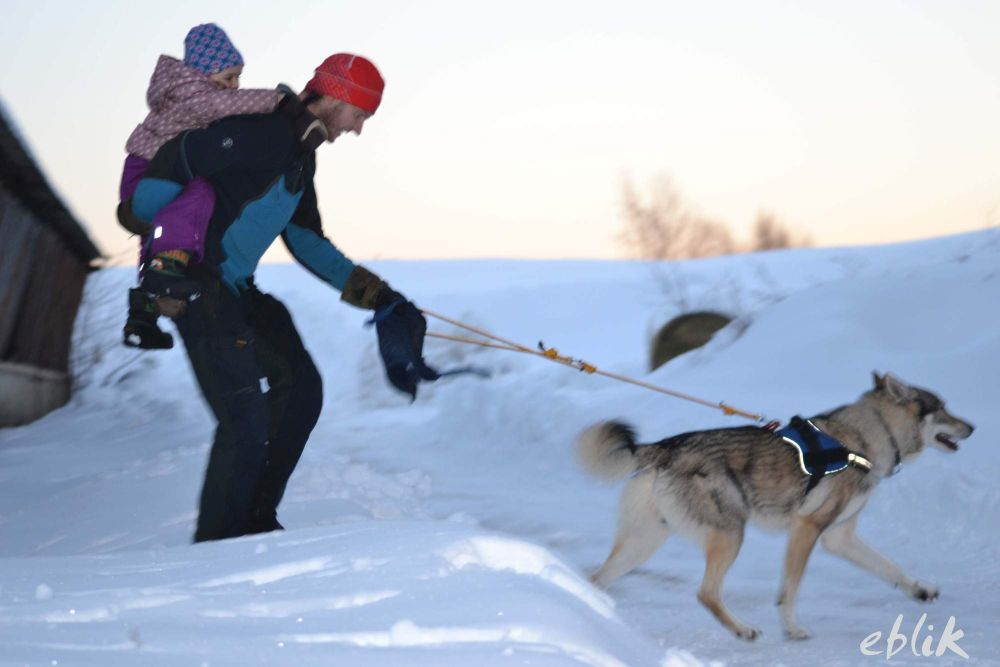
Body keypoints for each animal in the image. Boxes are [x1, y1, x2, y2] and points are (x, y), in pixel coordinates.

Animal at [580, 374, 976, 640]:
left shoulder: (839, 537)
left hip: (644, 543)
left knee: (598, 578)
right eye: (943, 408)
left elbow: (889, 566)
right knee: (706, 593)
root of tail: (663, 447)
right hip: (729, 536)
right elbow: (789, 591)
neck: (866, 438)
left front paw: (920, 590)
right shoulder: (807, 529)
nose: (972, 427)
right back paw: (743, 630)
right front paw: (793, 630)